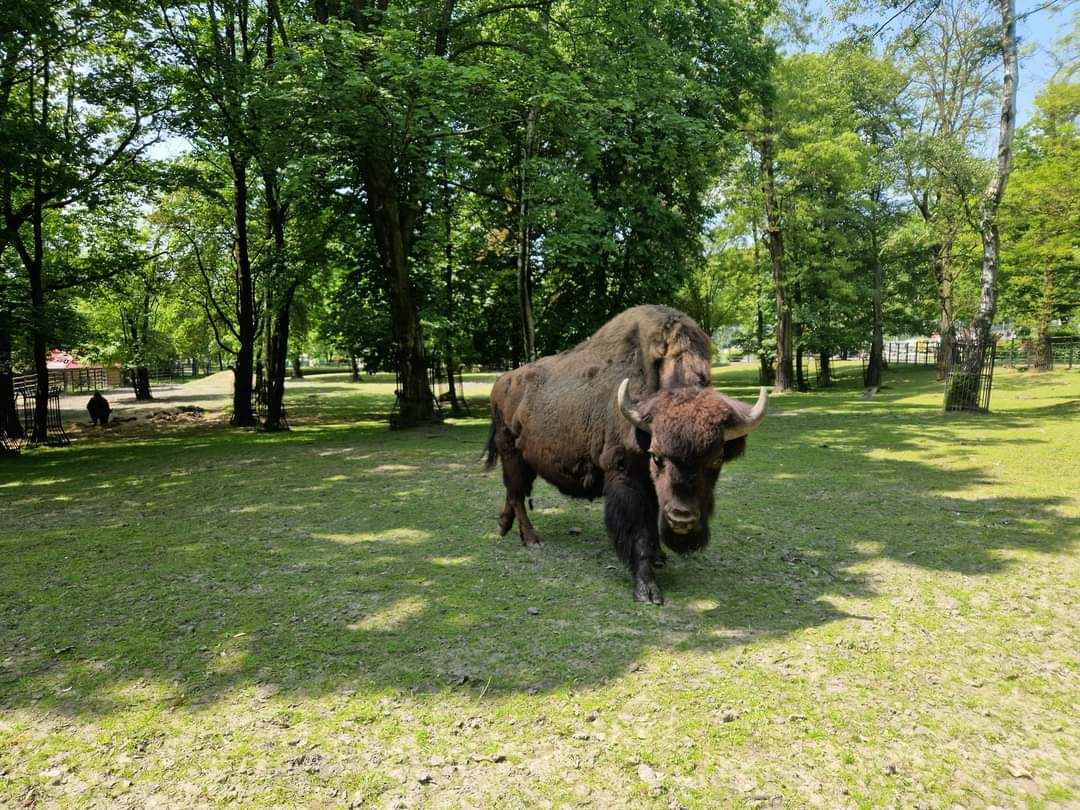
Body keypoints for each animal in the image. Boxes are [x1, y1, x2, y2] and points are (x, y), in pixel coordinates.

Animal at [483, 305, 767, 604]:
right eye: (657, 456)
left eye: (717, 459)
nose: (682, 518)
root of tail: (501, 382)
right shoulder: (625, 475)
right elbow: (639, 530)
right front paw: (647, 588)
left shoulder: (653, 489)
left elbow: (652, 523)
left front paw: (659, 557)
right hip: (511, 452)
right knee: (516, 494)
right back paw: (531, 539)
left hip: (523, 459)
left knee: (513, 491)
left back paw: (503, 526)